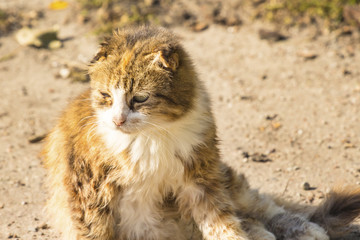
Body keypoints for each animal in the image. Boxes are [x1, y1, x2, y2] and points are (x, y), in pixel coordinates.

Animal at [43, 25, 360, 239]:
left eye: (140, 99)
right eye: (106, 96)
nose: (118, 120)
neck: (150, 140)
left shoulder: (201, 179)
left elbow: (223, 224)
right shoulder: (89, 190)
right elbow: (95, 231)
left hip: (226, 178)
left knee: (264, 208)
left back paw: (304, 229)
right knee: (253, 217)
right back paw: (264, 233)